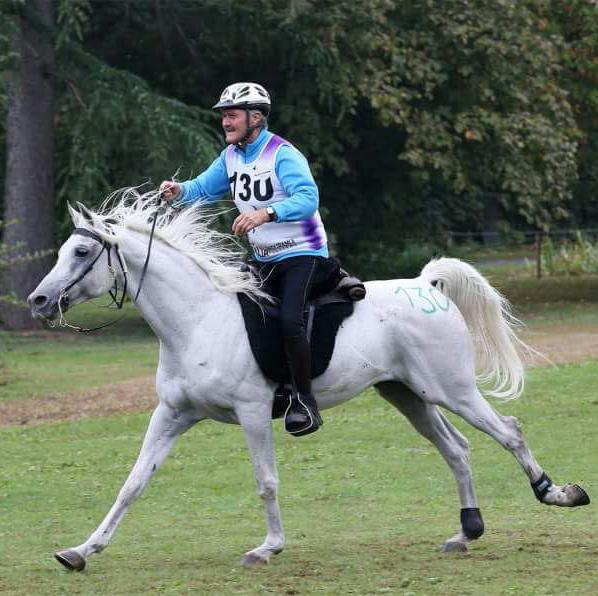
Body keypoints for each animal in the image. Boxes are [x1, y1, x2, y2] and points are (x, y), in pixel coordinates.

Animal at [27, 192, 592, 572]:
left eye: (81, 253)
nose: (38, 301)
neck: (198, 320)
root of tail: (426, 284)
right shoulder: (173, 415)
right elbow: (133, 483)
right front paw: (81, 550)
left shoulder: (253, 413)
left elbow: (266, 481)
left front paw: (268, 547)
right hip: (407, 395)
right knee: (457, 449)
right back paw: (466, 531)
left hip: (450, 391)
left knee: (509, 431)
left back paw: (557, 493)